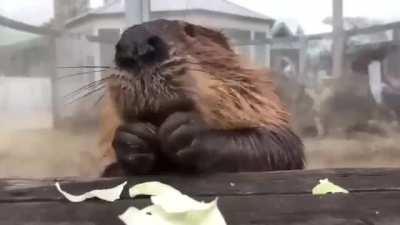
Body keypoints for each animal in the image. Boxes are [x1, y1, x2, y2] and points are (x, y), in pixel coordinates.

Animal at [98, 19, 304, 176]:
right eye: (118, 45)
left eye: (190, 30)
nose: (136, 44)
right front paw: (133, 138)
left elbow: (279, 144)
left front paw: (185, 130)